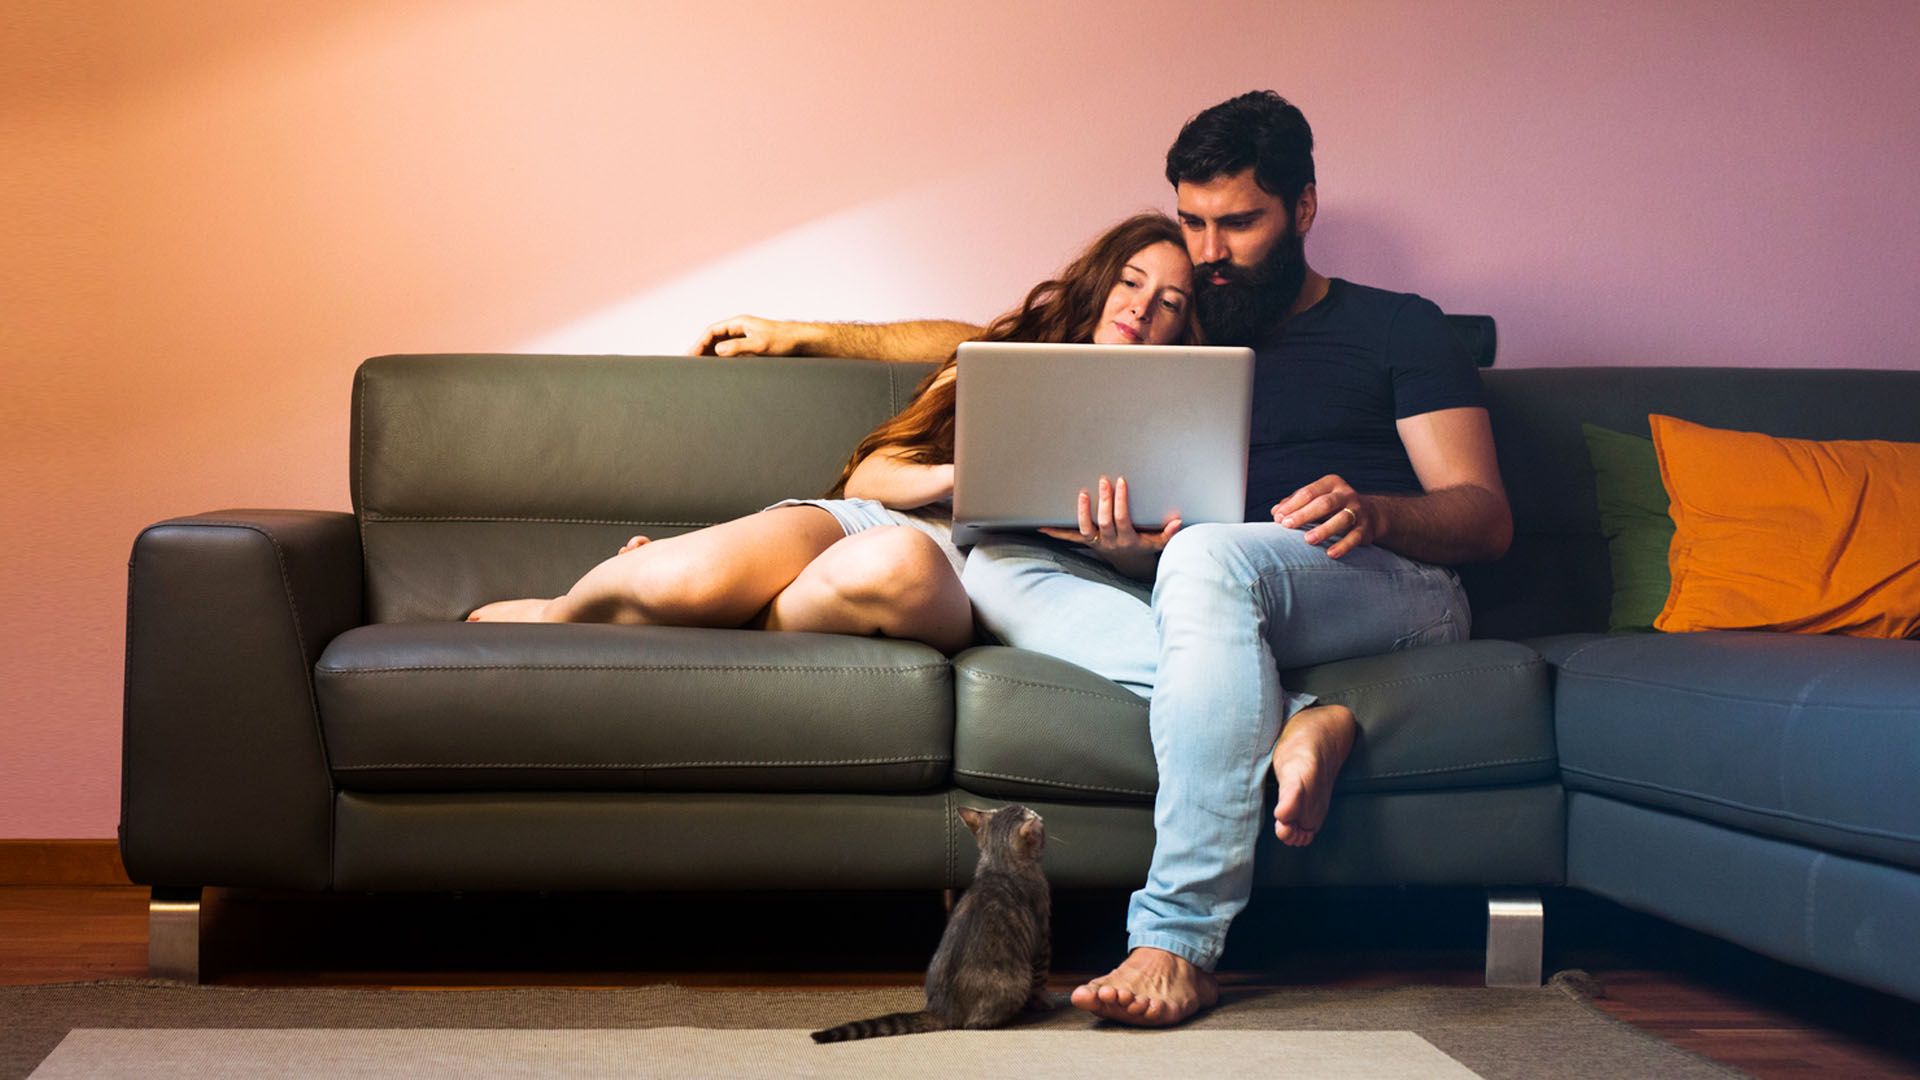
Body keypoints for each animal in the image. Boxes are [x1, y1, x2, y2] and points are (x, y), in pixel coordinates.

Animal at [810, 803, 1052, 1037]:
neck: (999, 866)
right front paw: (1044, 1004)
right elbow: (1041, 981)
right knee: (976, 1024)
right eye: (1033, 815)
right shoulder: (1042, 938)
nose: (1040, 816)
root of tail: (940, 1009)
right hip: (1017, 981)